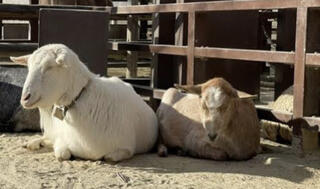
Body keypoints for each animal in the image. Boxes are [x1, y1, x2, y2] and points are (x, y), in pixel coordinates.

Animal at [10, 44, 158, 161]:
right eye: (29, 67)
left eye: (49, 67)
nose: (25, 98)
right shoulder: (62, 138)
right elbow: (62, 154)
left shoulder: (126, 148)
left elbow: (110, 157)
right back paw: (33, 143)